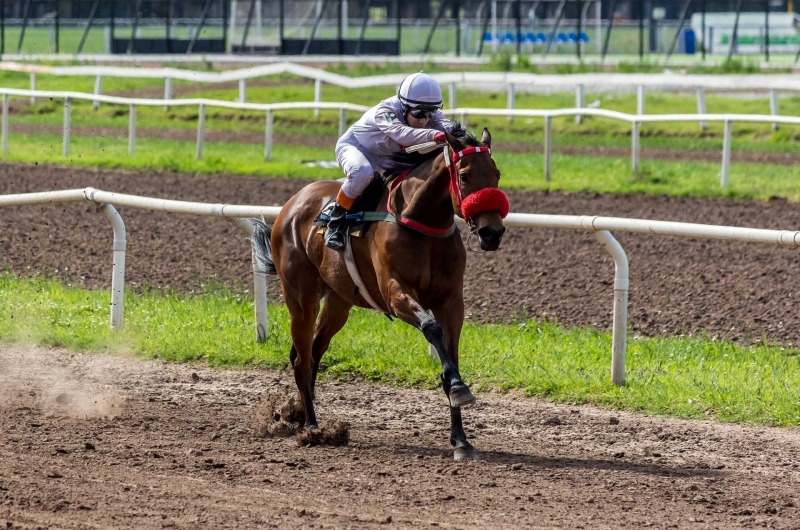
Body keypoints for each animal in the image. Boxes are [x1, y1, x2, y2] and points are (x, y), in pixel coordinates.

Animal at [253, 125, 510, 458]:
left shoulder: (452, 302)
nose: (492, 233)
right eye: (464, 176)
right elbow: (431, 327)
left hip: (338, 302)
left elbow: (450, 359)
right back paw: (311, 427)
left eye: (497, 174)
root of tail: (291, 205)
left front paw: (461, 438)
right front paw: (459, 389)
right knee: (302, 361)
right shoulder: (395, 293)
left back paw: (305, 418)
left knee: (313, 353)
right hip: (301, 296)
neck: (421, 223)